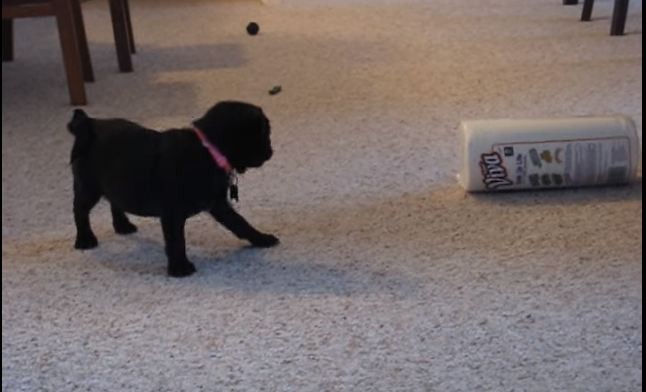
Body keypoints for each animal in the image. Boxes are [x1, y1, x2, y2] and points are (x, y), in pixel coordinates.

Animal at [69, 102, 280, 278]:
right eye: (265, 134)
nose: (271, 152)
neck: (207, 150)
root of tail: (89, 123)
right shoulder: (173, 214)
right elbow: (177, 241)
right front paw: (180, 268)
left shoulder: (218, 204)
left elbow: (240, 224)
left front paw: (261, 239)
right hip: (89, 187)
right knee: (80, 211)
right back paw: (85, 239)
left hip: (115, 183)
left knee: (115, 201)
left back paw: (123, 226)